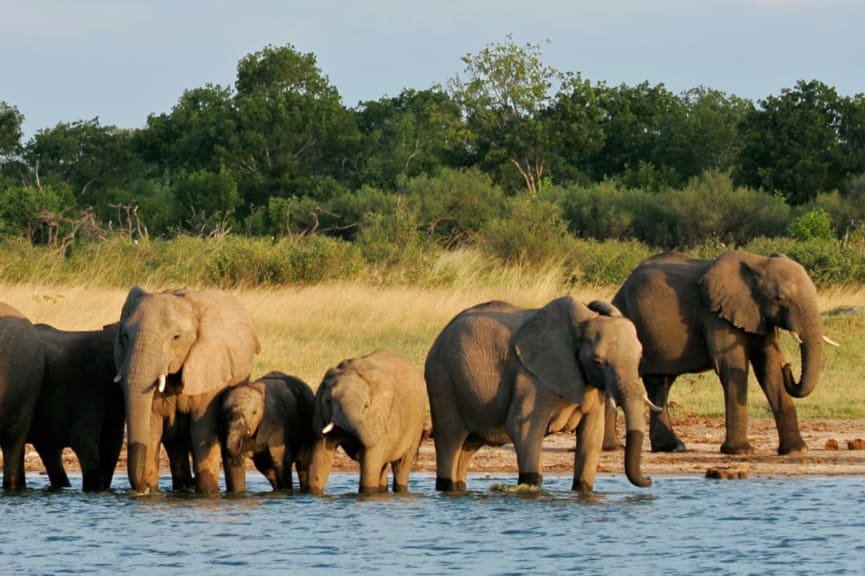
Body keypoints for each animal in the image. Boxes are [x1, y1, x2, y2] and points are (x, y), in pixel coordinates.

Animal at [113, 288, 260, 496]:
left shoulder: (210, 371)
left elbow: (202, 430)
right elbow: (151, 425)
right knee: (176, 447)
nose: (143, 488)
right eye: (124, 336)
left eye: (176, 337)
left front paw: (207, 493)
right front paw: (149, 493)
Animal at [308, 348, 426, 492]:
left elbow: (370, 464)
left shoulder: (380, 417)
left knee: (401, 464)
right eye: (328, 402)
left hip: (417, 421)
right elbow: (320, 458)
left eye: (366, 406)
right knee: (382, 466)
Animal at [422, 296, 652, 490]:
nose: (649, 479)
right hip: (443, 381)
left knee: (466, 448)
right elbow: (523, 429)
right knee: (450, 441)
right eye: (597, 361)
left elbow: (591, 436)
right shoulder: (530, 378)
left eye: (640, 358)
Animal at [608, 251, 836, 454]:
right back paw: (614, 448)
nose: (788, 365)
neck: (758, 263)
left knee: (660, 382)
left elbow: (769, 368)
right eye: (779, 299)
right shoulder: (715, 316)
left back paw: (672, 448)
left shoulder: (760, 317)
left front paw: (796, 451)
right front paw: (740, 451)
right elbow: (732, 367)